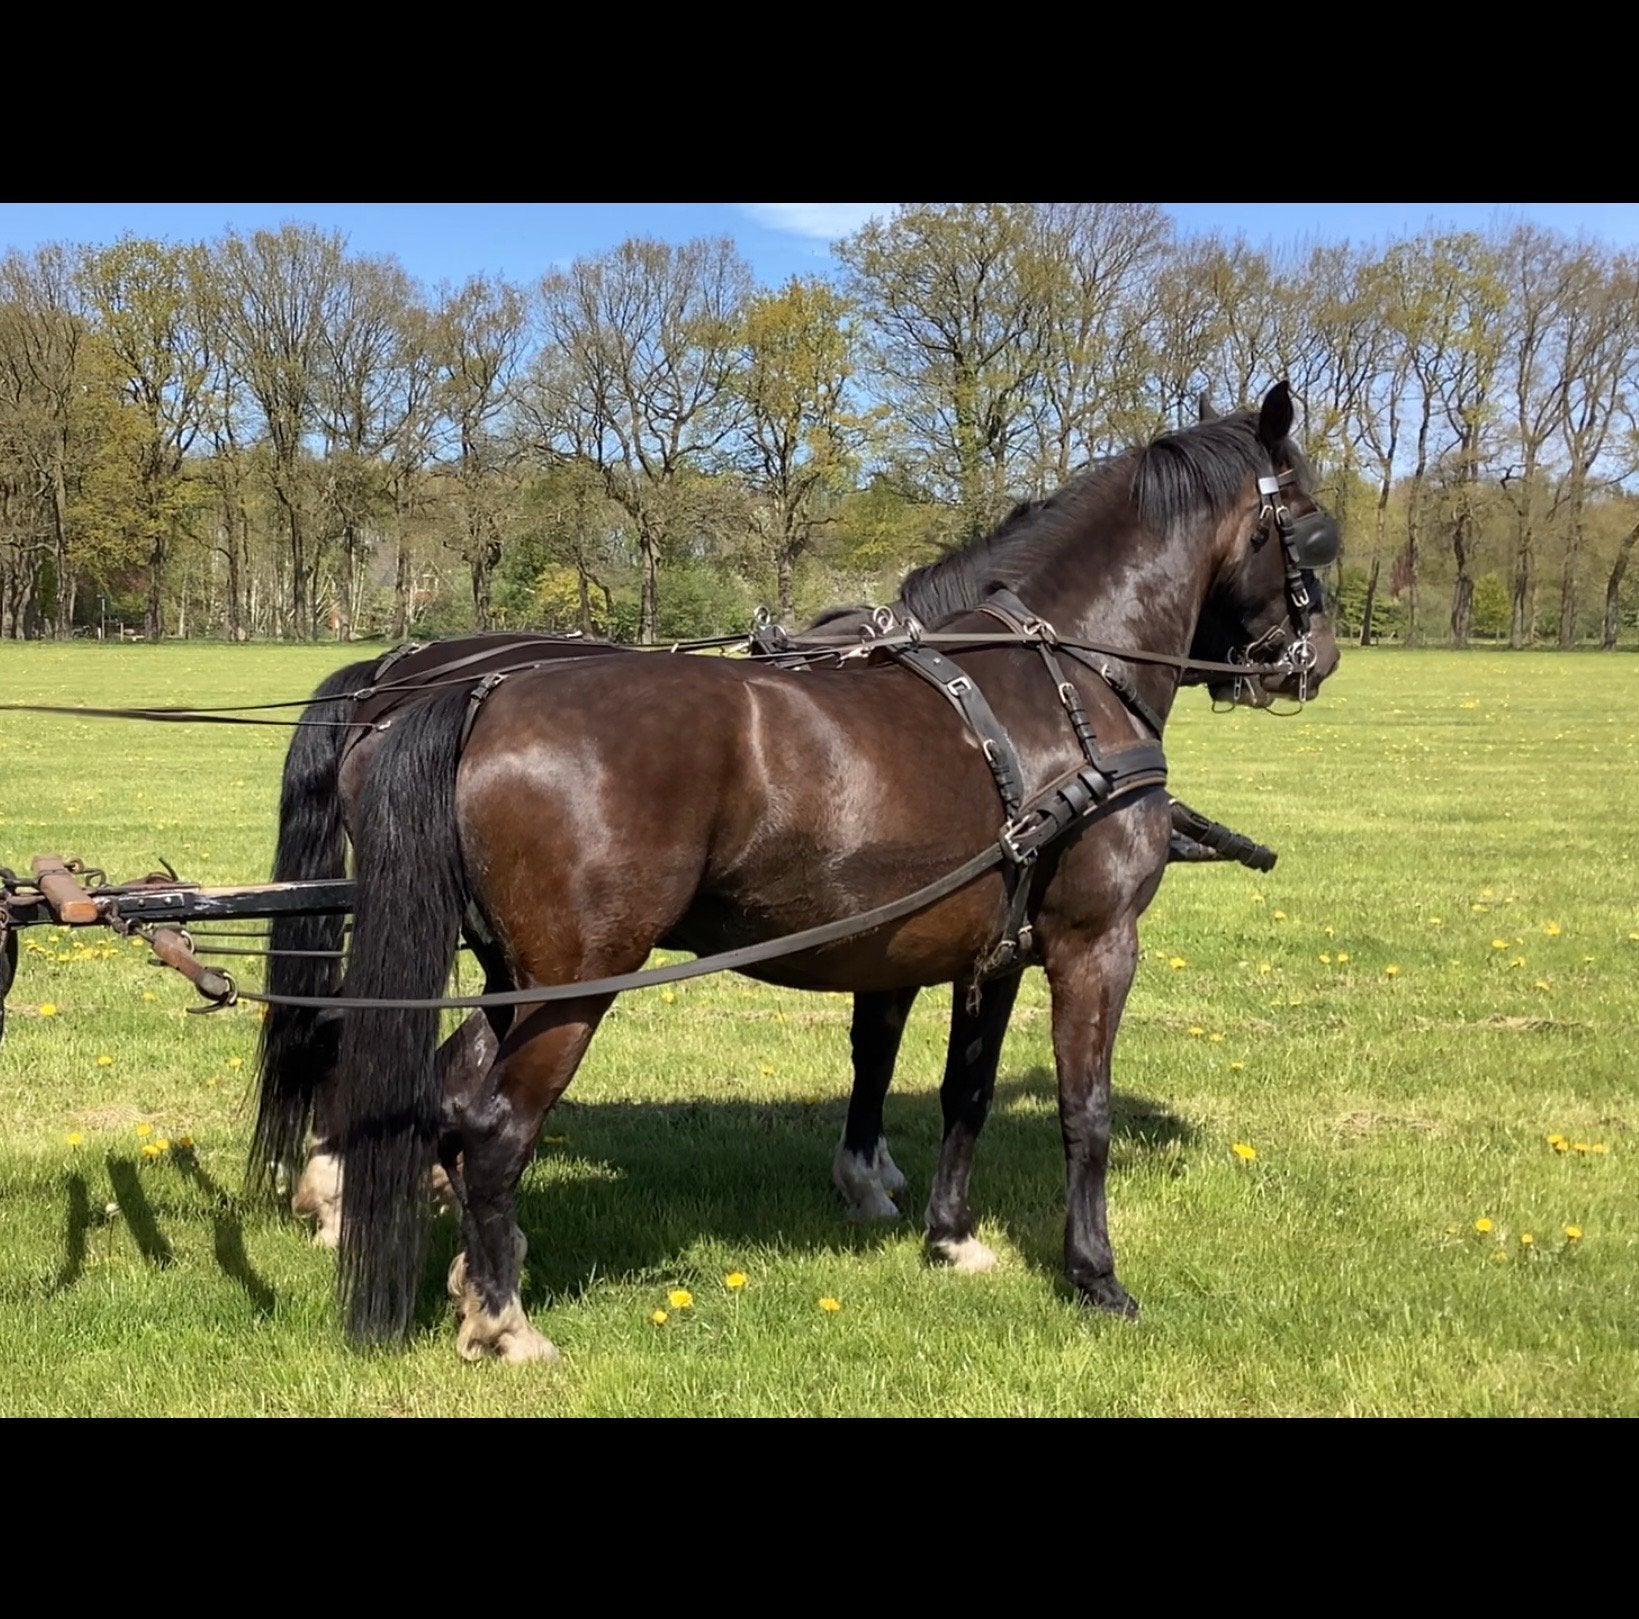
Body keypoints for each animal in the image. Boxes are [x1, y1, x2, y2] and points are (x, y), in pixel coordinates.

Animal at [312, 382, 1339, 1360]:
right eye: (1314, 527)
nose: (1316, 660)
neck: (1065, 676)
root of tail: (473, 693)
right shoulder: (1094, 942)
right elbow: (1081, 1110)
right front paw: (1093, 1273)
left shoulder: (988, 952)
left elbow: (962, 1089)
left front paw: (949, 1234)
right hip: (573, 985)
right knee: (492, 1128)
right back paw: (502, 1317)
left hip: (510, 977)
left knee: (447, 1099)